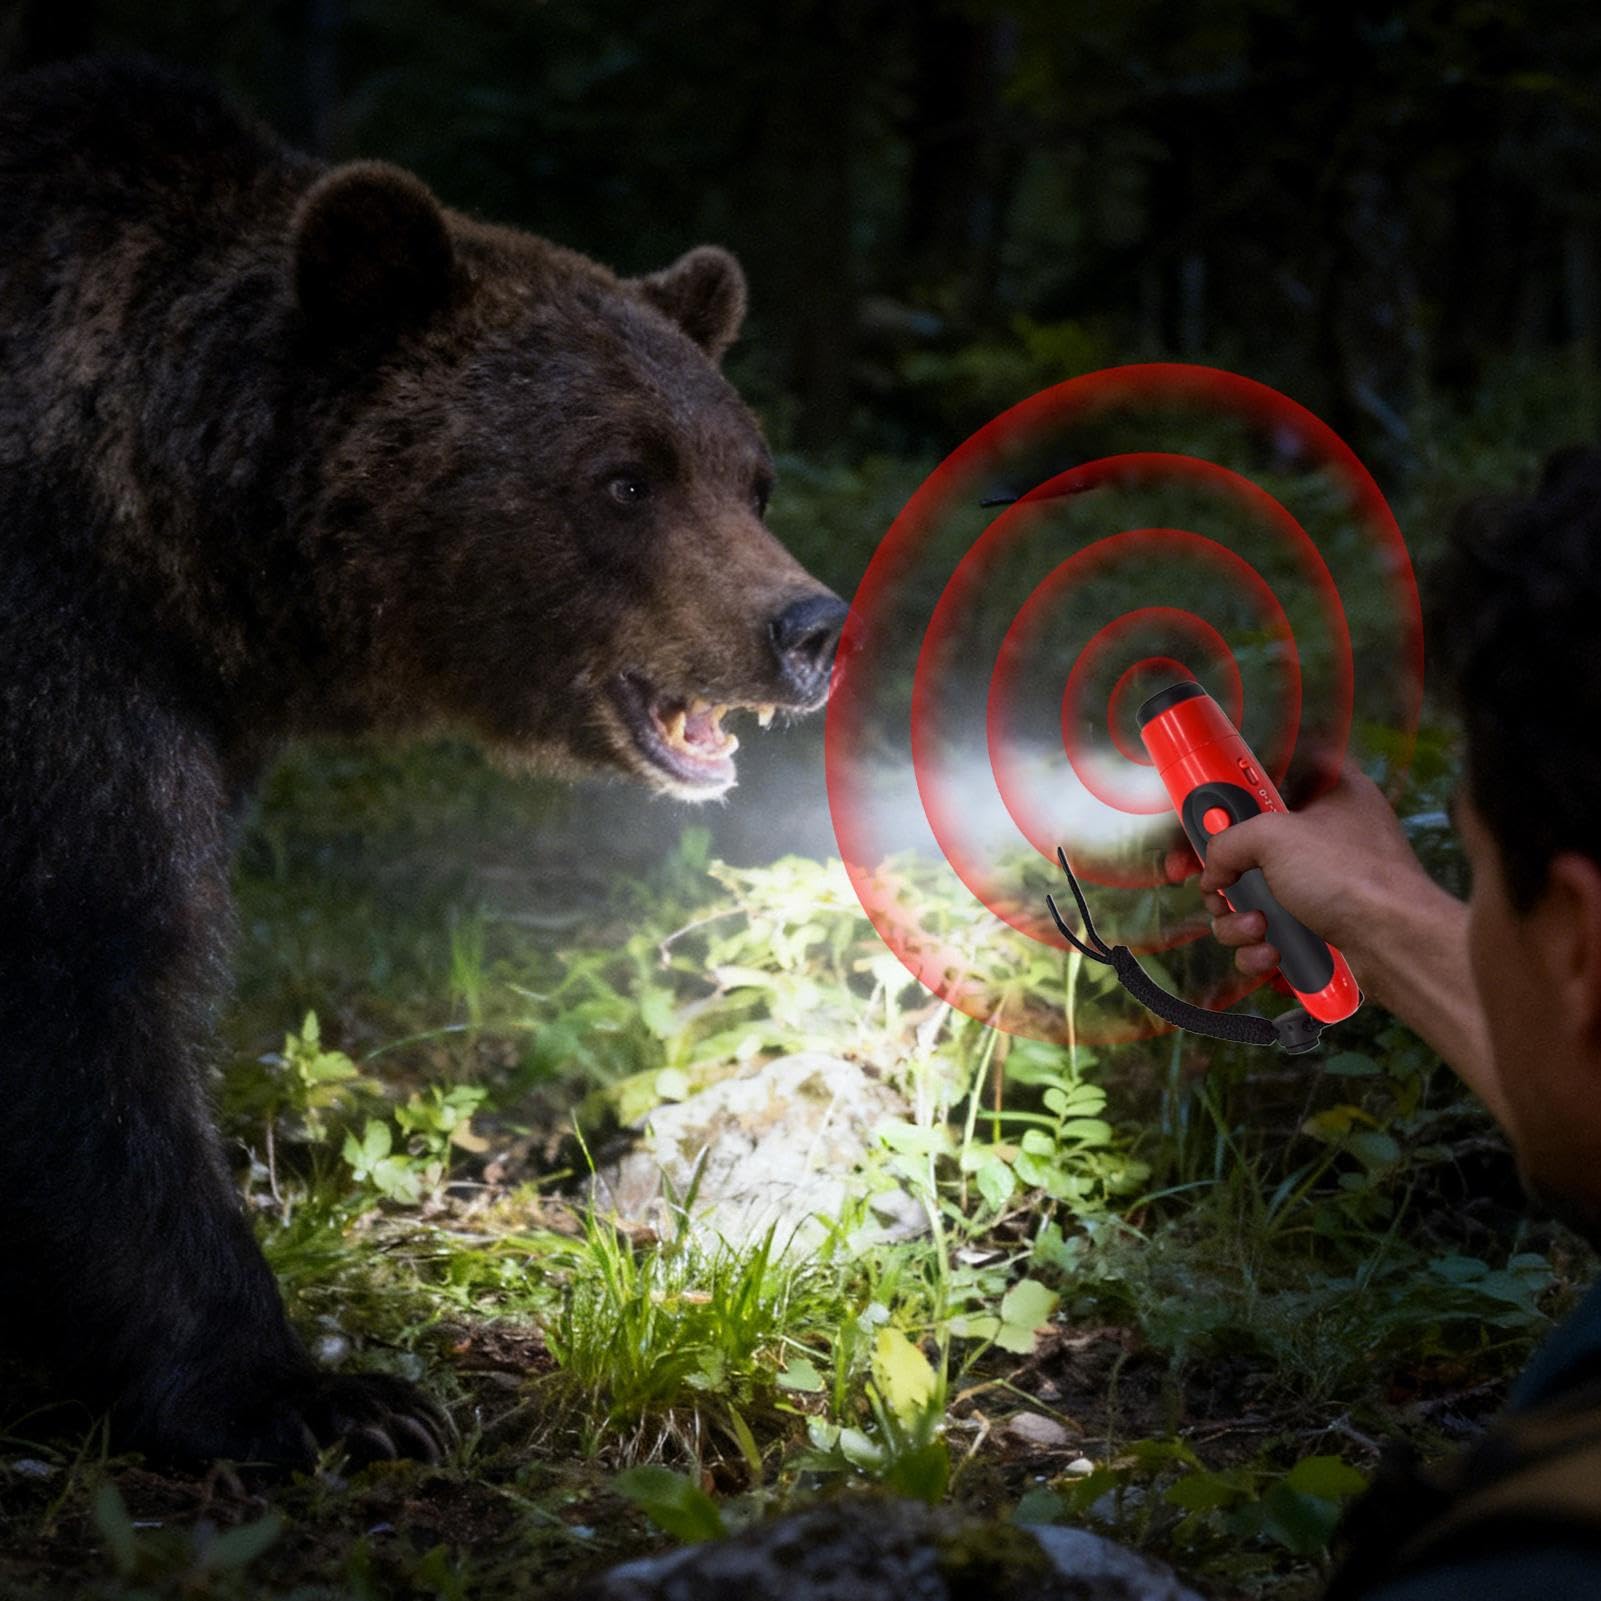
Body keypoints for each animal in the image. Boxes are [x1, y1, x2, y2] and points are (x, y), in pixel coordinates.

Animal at [0, 55, 847, 1466]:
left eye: (753, 478)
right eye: (625, 477)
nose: (808, 627)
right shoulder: (62, 653)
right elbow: (85, 974)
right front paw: (317, 1392)